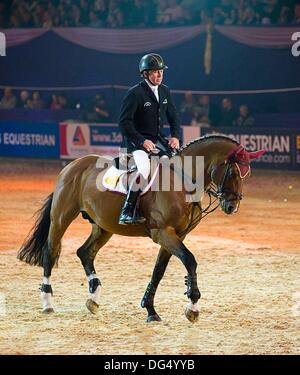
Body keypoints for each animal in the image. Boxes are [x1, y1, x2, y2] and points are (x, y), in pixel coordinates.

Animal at [17, 135, 264, 324]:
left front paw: (151, 310)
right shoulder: (162, 232)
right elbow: (190, 260)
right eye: (233, 172)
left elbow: (159, 271)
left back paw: (94, 298)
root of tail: (71, 166)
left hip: (103, 226)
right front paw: (192, 307)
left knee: (85, 252)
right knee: (50, 253)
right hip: (61, 218)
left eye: (246, 175)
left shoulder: (176, 235)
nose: (232, 207)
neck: (181, 181)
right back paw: (47, 302)